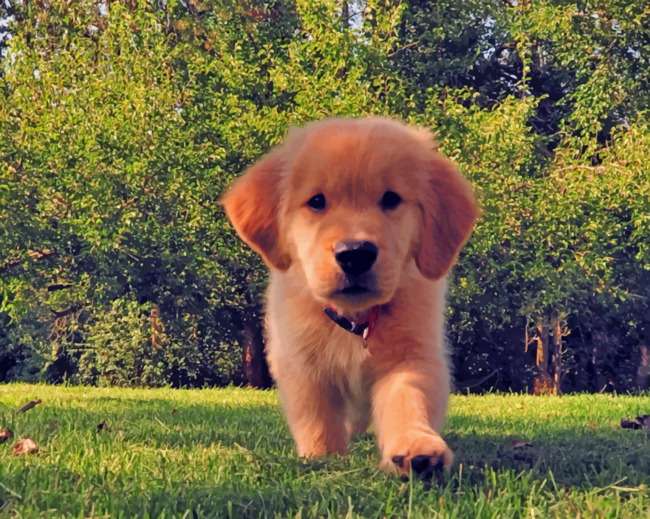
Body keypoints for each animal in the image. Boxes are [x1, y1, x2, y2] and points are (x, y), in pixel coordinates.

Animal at [220, 117, 478, 480]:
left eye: (391, 199)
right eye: (317, 201)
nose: (355, 254)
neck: (357, 320)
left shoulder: (412, 353)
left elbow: (409, 398)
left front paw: (417, 447)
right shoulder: (301, 359)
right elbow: (317, 415)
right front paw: (322, 456)